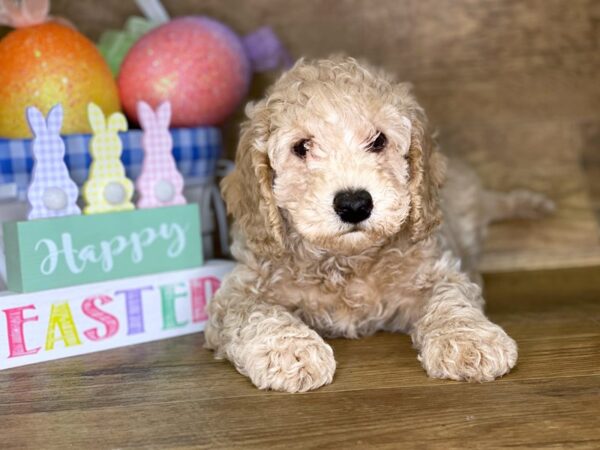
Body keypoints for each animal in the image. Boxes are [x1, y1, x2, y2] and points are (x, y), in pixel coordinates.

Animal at [204, 56, 556, 392]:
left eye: (378, 141)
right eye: (301, 147)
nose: (354, 204)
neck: (346, 262)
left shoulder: (434, 267)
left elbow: (450, 297)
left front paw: (470, 339)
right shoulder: (239, 289)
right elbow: (256, 312)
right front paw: (290, 352)